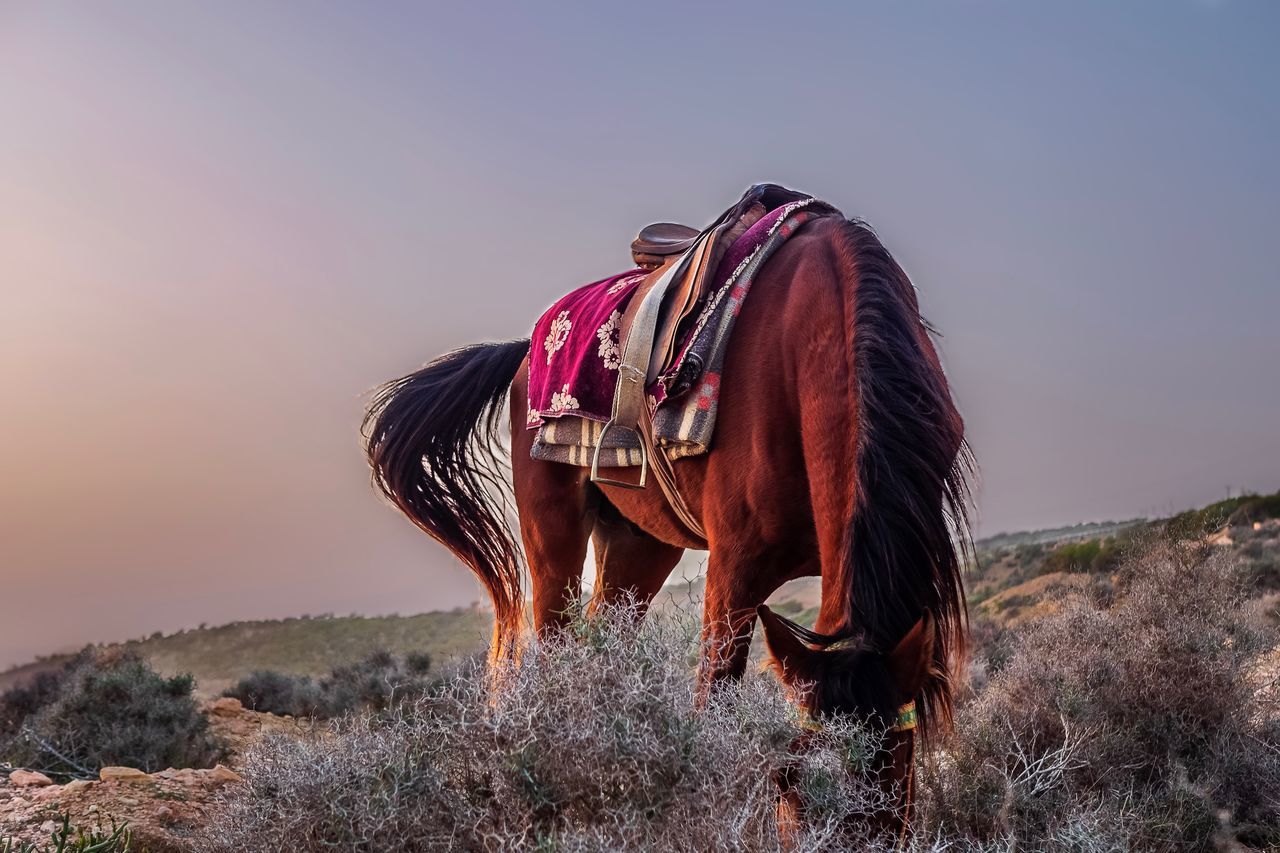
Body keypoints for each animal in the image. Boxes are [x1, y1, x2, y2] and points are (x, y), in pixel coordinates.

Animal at [366, 212, 972, 829]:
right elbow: (713, 707)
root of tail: (524, 353)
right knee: (555, 657)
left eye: (896, 793)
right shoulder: (735, 569)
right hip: (552, 534)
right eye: (789, 786)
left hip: (638, 547)